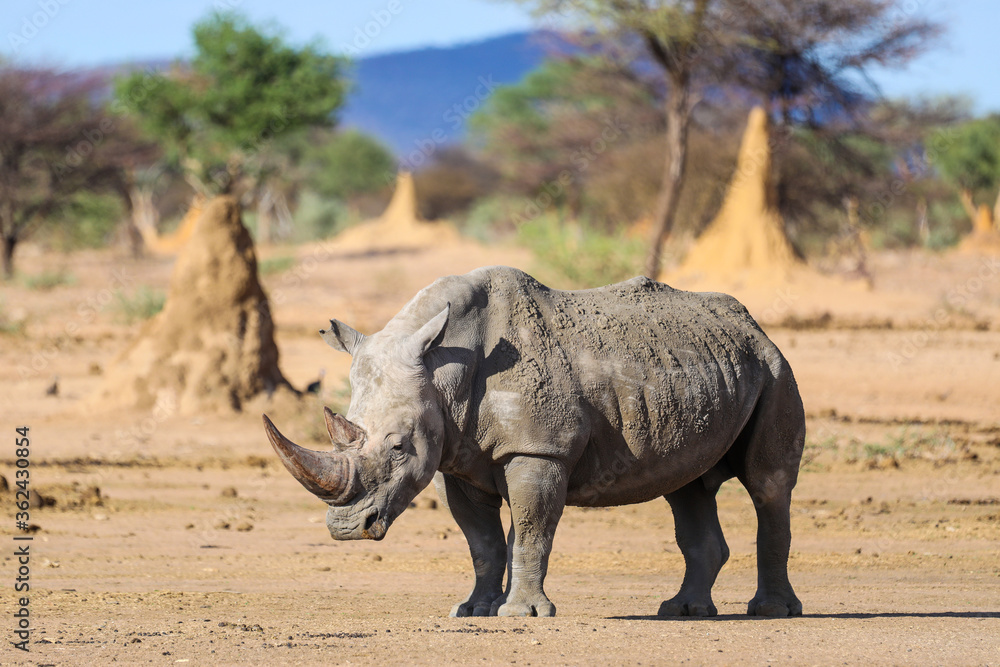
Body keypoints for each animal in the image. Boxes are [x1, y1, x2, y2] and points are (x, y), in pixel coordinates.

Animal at [263, 266, 805, 618]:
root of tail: (753, 326)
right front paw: (474, 610)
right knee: (686, 485)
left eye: (398, 447)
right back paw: (682, 611)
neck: (442, 367)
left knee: (767, 486)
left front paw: (521, 613)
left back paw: (771, 611)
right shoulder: (456, 459)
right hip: (702, 370)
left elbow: (530, 530)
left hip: (775, 366)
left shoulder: (539, 449)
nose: (346, 530)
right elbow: (481, 542)